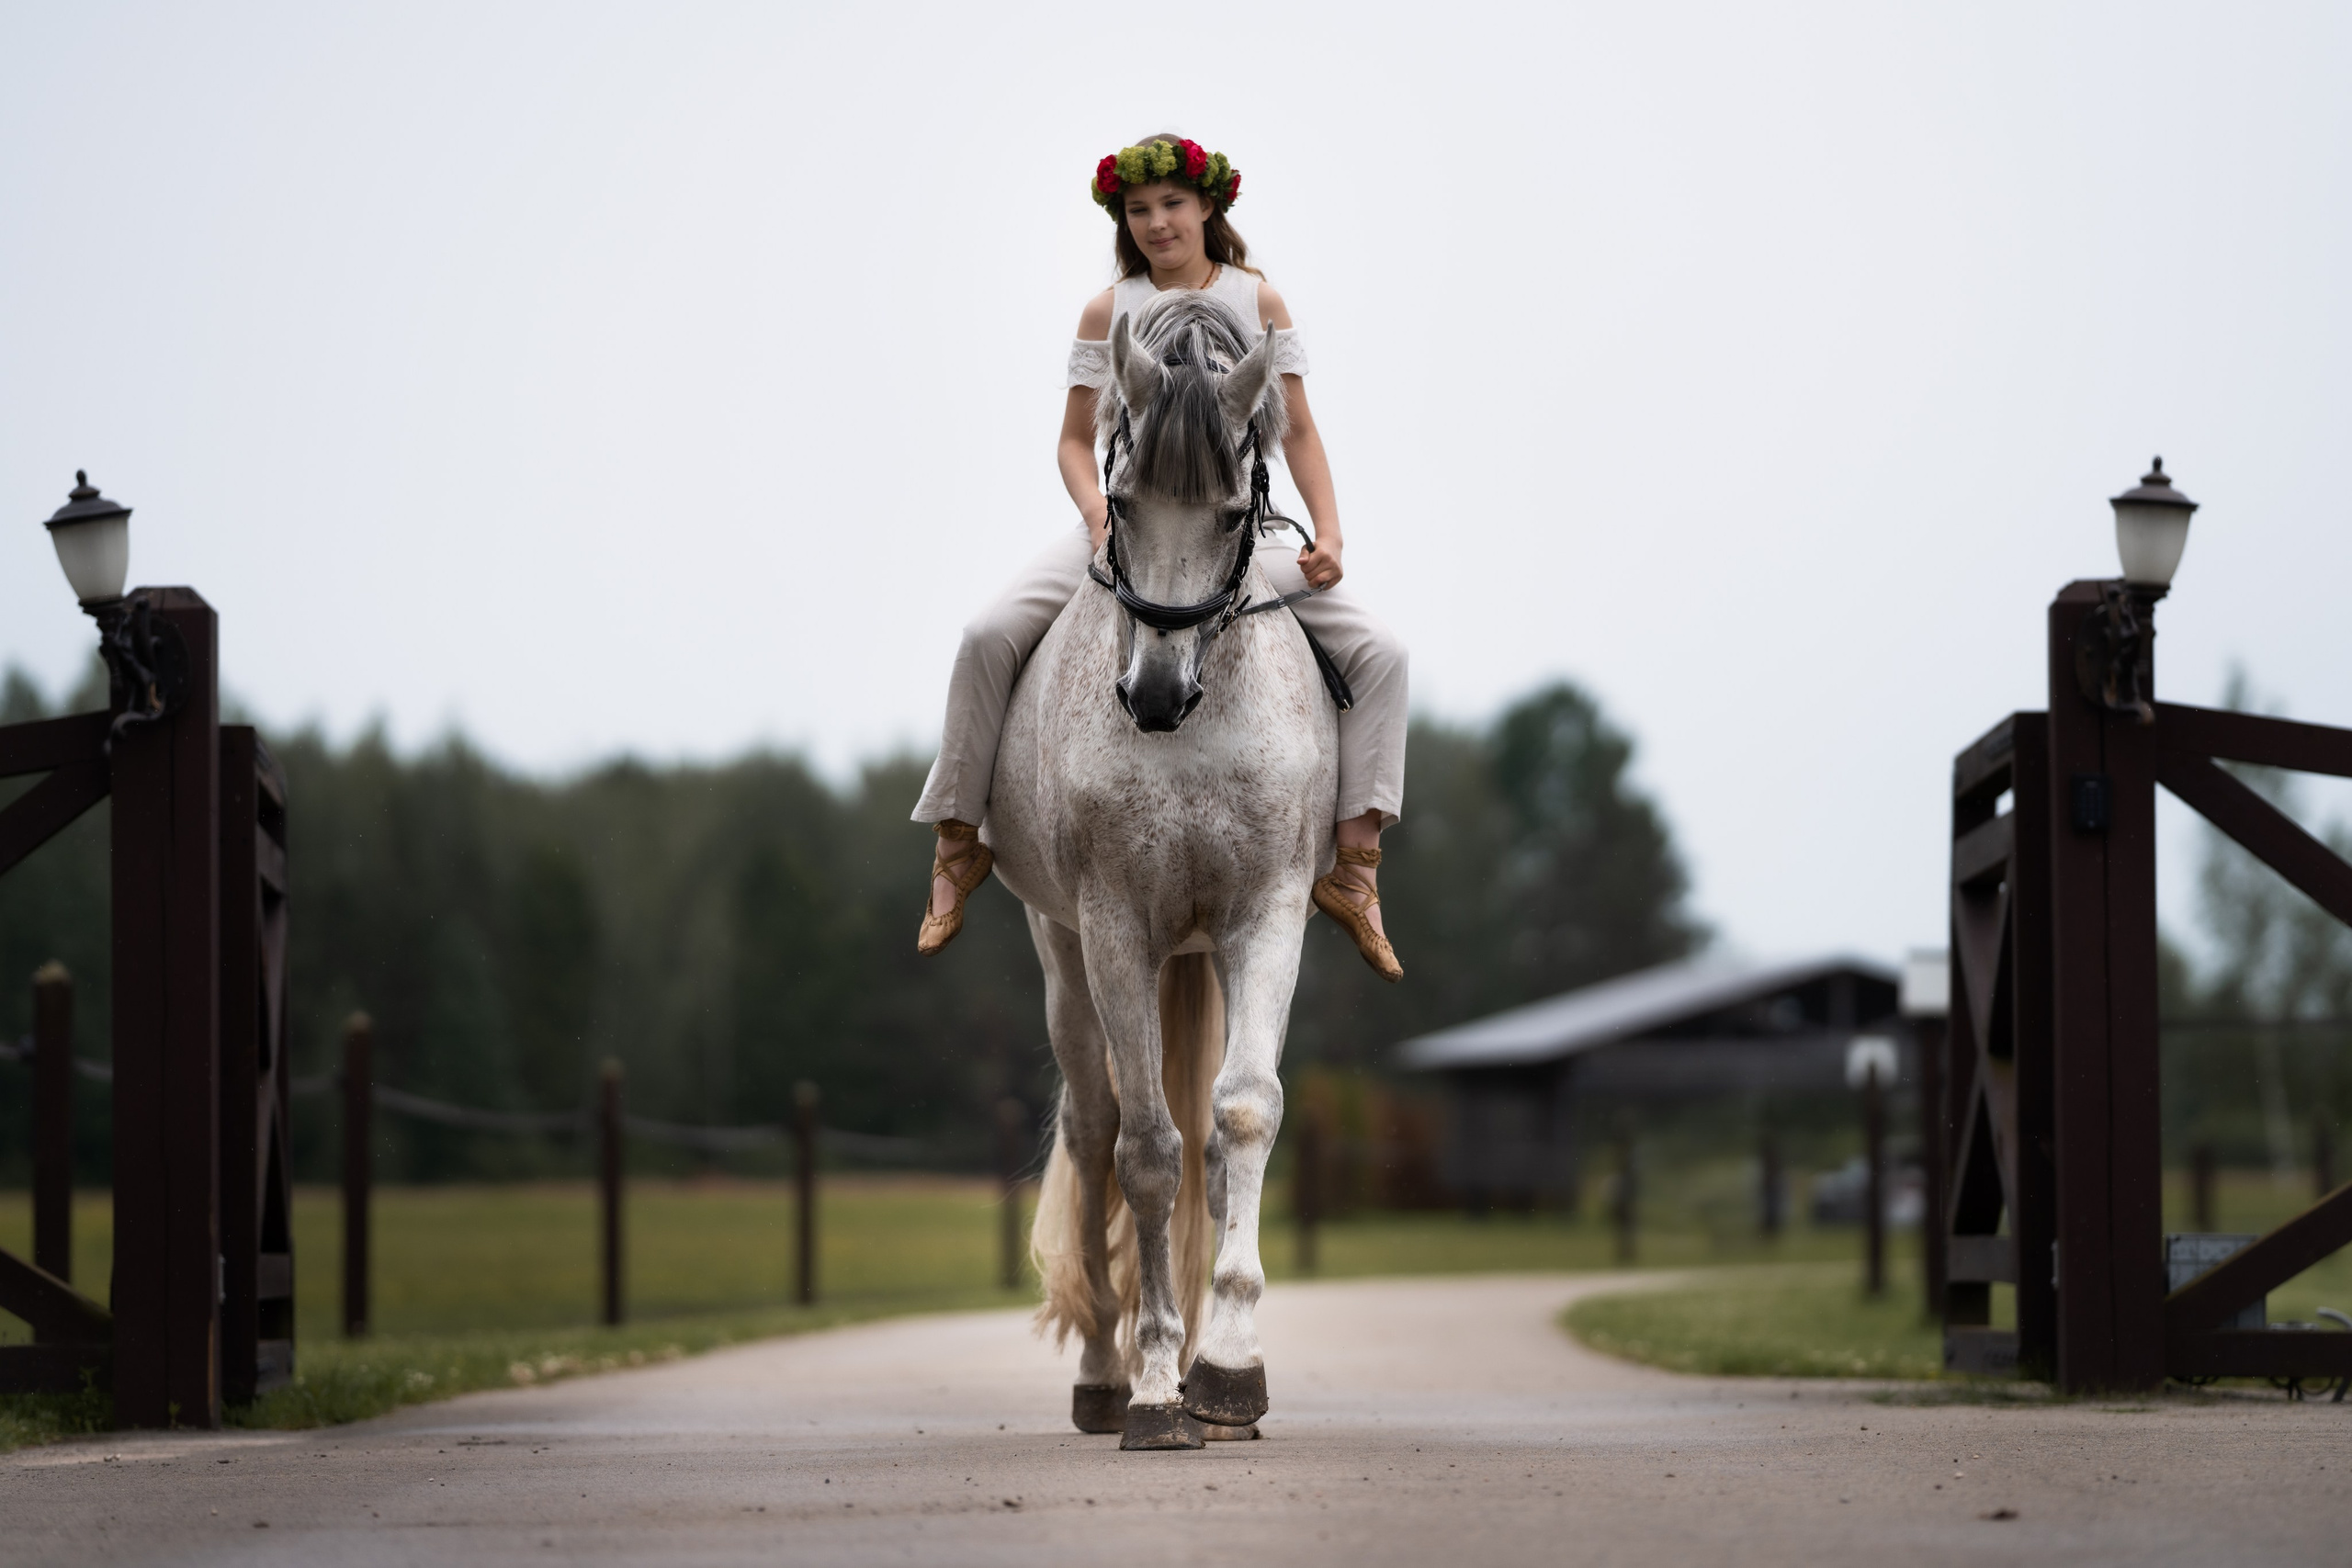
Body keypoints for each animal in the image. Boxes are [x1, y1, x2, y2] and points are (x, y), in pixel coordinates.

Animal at [986, 289, 1339, 1450]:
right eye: (1123, 504)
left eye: (1233, 514)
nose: (1151, 695)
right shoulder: (1114, 931)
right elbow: (1144, 1152)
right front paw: (1152, 1386)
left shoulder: (1263, 918)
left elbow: (1240, 1118)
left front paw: (1224, 1369)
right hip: (1063, 958)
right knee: (1097, 1133)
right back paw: (1104, 1378)